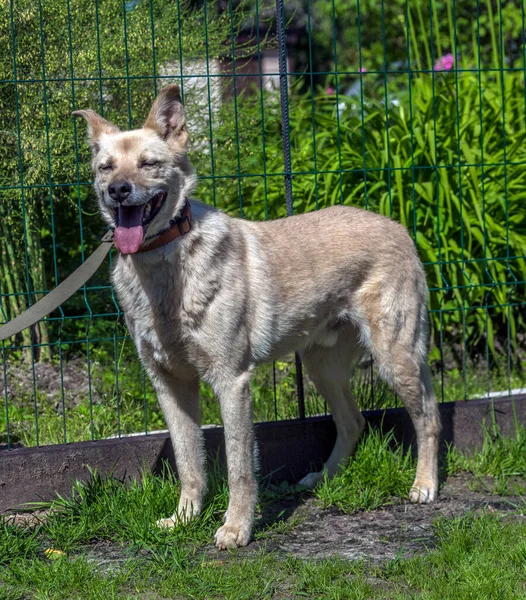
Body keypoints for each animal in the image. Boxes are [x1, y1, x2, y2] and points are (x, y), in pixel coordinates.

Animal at [72, 84, 440, 548]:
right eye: (105, 167)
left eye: (149, 164)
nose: (118, 190)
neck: (166, 264)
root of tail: (397, 226)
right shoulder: (170, 385)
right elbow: (189, 462)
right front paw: (185, 518)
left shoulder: (232, 382)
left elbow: (240, 468)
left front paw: (236, 528)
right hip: (323, 368)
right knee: (353, 421)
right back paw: (324, 478)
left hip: (395, 357)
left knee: (428, 416)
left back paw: (425, 485)